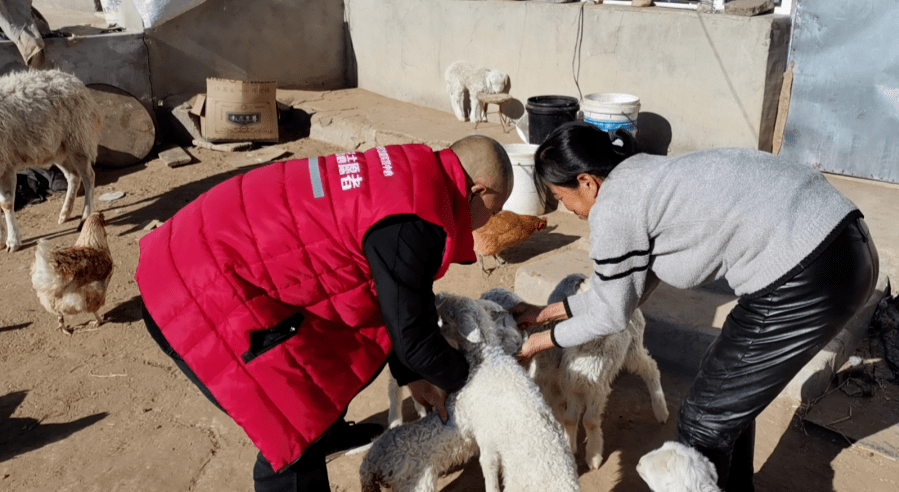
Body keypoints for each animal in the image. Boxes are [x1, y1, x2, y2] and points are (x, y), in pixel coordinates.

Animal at [0, 67, 103, 252]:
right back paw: (65, 213)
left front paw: (13, 241)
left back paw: (85, 217)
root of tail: (70, 77)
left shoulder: (6, 163)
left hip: (78, 139)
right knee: (73, 177)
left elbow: (6, 203)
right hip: (59, 149)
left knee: (88, 177)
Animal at [486, 272, 668, 468]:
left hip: (632, 350)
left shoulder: (596, 388)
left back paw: (661, 410)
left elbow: (590, 421)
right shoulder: (569, 385)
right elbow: (570, 418)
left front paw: (594, 457)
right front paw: (569, 445)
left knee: (651, 368)